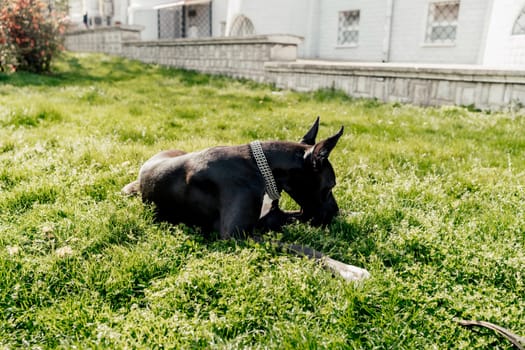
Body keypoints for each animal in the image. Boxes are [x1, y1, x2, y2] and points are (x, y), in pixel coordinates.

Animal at [122, 117, 368, 282]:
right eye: (331, 185)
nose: (335, 211)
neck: (261, 169)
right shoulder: (237, 236)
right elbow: (298, 247)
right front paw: (348, 269)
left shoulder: (270, 217)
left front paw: (354, 214)